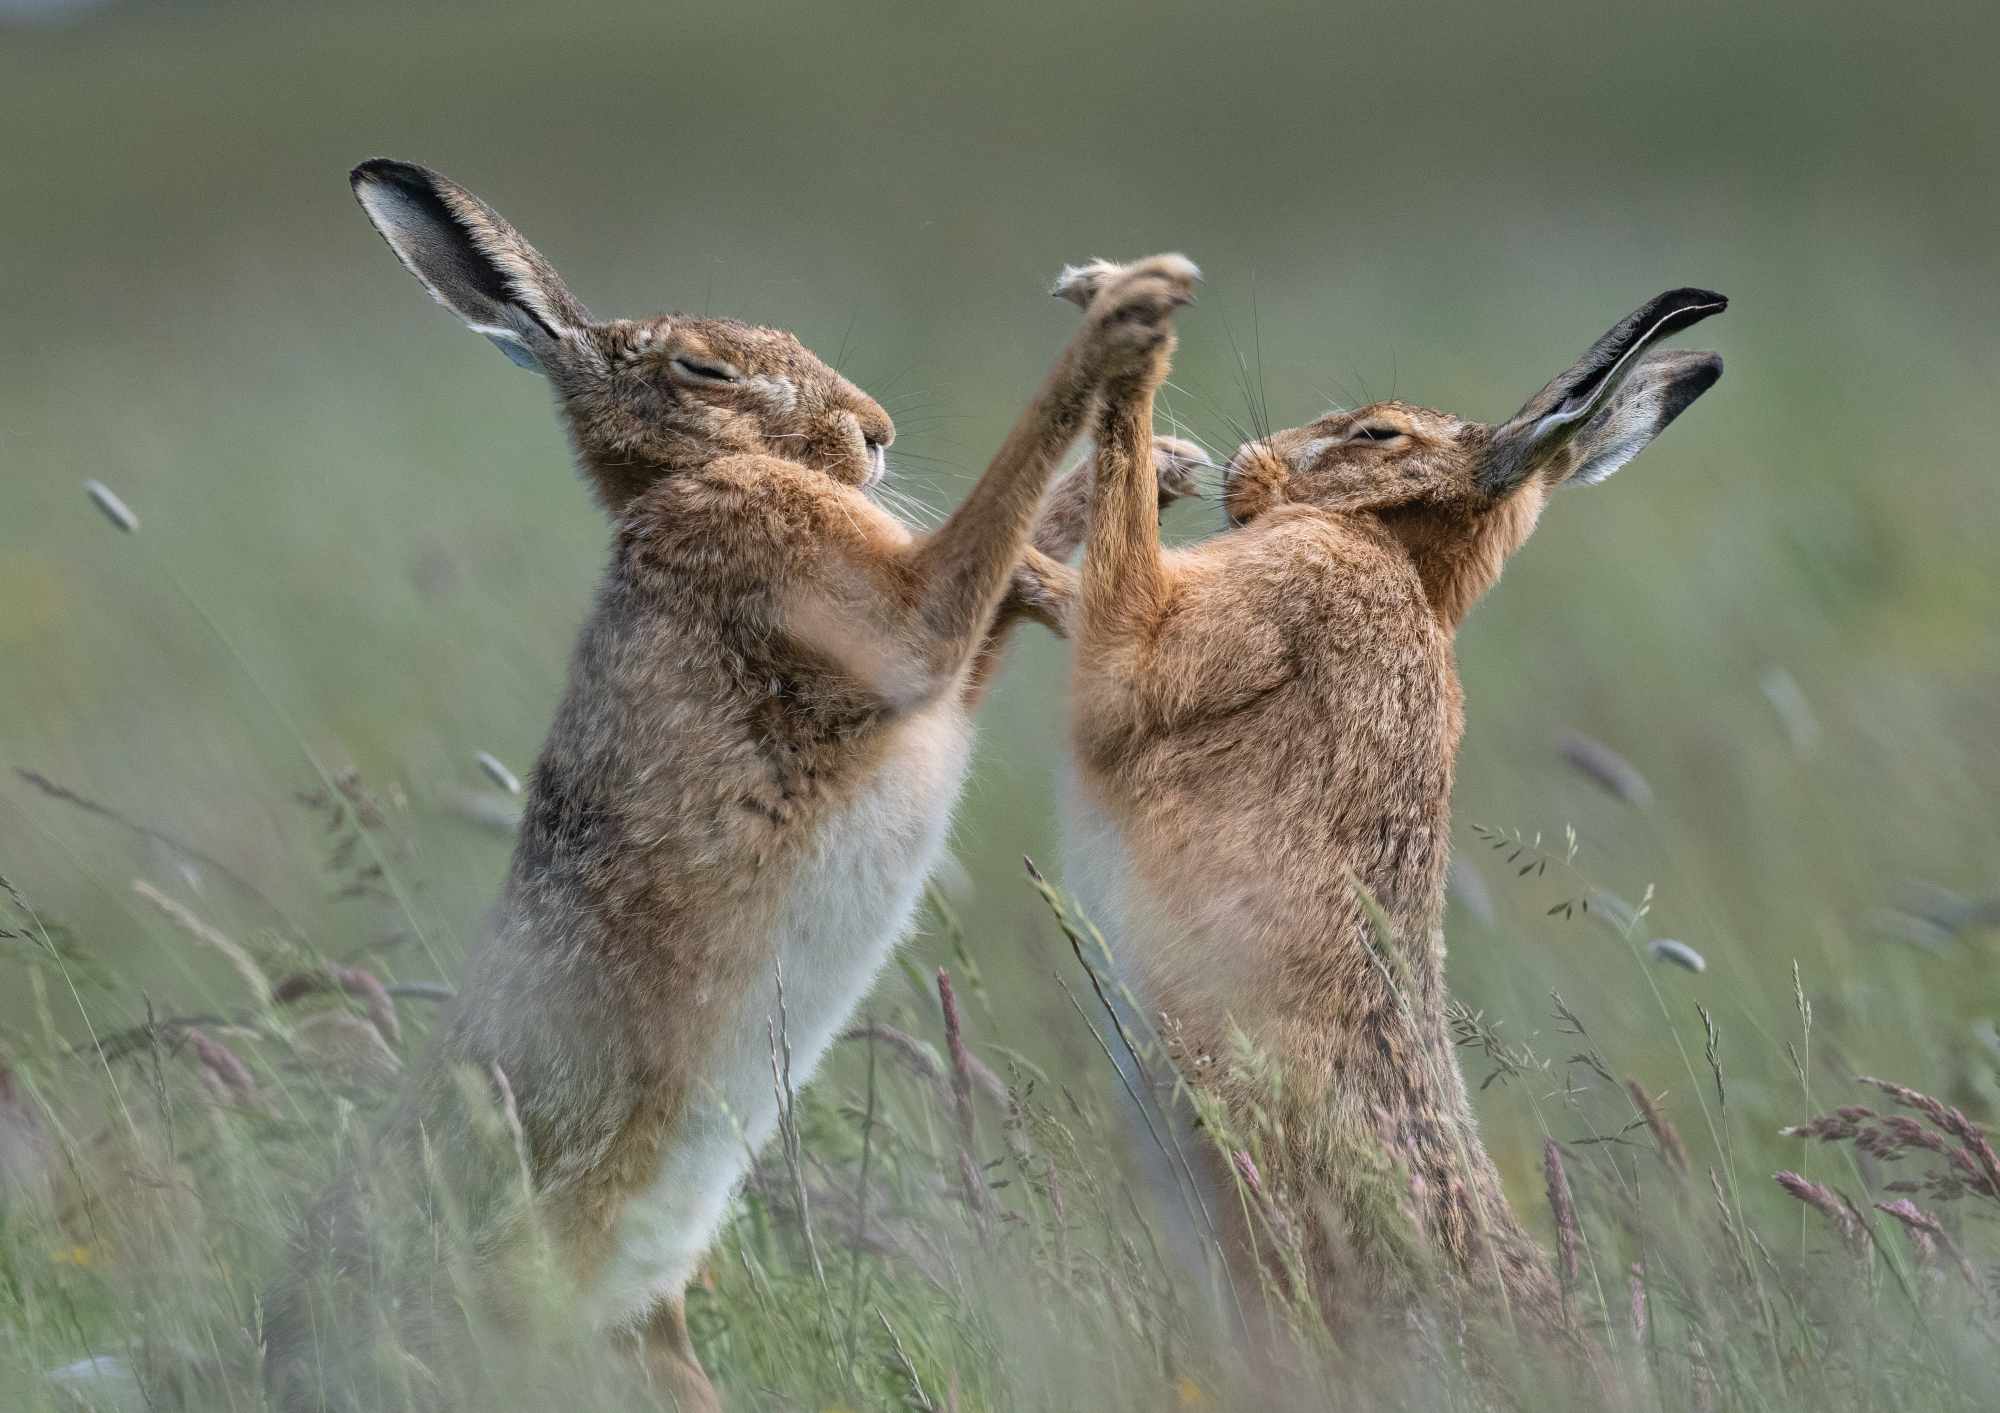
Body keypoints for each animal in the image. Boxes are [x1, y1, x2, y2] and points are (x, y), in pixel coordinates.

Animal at [261, 157, 1199, 1413]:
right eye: (700, 370)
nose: (874, 433)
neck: (692, 480)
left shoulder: (935, 671)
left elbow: (1008, 567)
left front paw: (1168, 465)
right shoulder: (882, 623)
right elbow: (981, 526)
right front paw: (1127, 315)